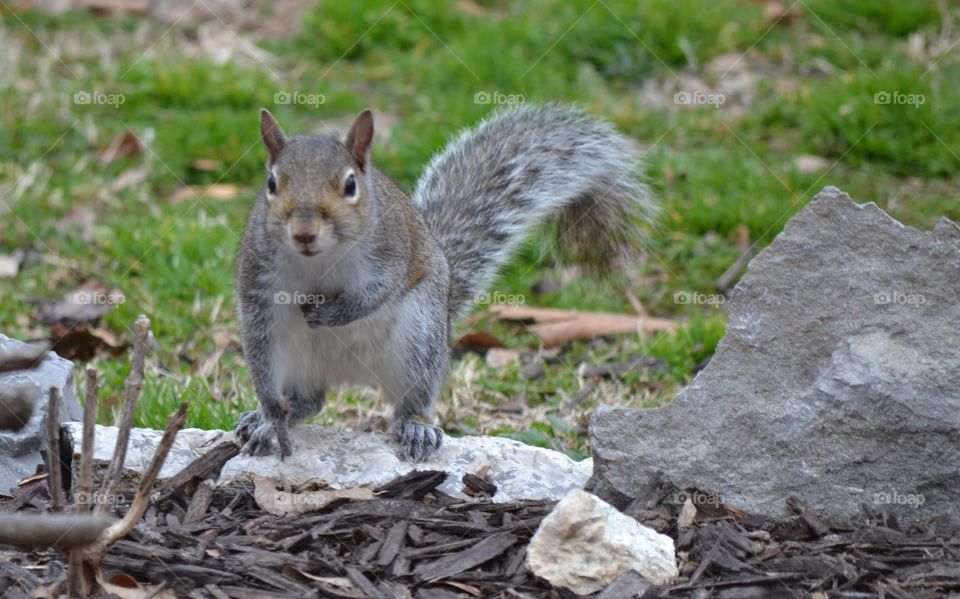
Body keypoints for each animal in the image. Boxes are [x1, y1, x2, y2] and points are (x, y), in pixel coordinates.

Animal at [233, 104, 657, 460]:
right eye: (271, 183)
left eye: (350, 185)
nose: (304, 233)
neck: (319, 260)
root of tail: (348, 373)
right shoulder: (257, 284)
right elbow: (259, 341)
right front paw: (270, 418)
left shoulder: (392, 251)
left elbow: (380, 291)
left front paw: (337, 313)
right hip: (292, 354)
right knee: (308, 399)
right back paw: (269, 417)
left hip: (419, 338)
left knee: (412, 400)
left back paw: (416, 427)